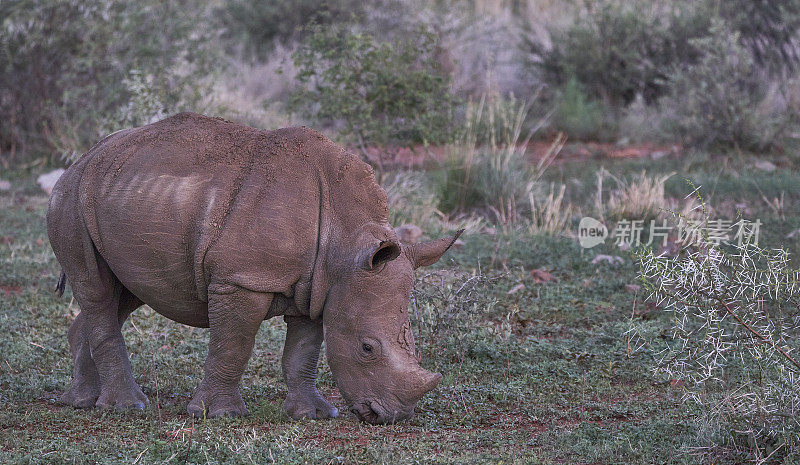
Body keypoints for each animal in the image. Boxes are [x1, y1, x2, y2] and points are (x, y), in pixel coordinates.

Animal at [48, 110, 462, 422]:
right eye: (367, 348)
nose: (393, 416)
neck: (346, 244)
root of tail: (80, 160)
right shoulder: (242, 279)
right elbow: (234, 345)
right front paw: (218, 415)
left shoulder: (321, 286)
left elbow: (303, 352)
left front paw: (312, 415)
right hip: (70, 200)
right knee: (97, 291)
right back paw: (127, 406)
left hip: (123, 196)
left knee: (125, 293)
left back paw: (81, 402)